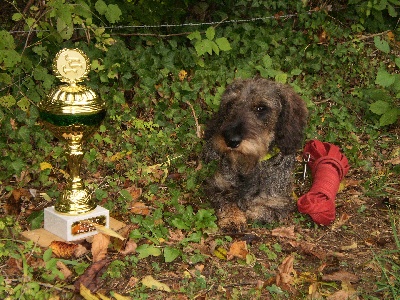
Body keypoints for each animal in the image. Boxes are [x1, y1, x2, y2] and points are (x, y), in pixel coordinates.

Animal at [203, 78, 310, 232]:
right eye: (230, 104)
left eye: (260, 108)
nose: (230, 140)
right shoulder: (217, 185)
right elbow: (226, 199)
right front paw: (233, 218)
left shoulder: (279, 204)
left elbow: (256, 209)